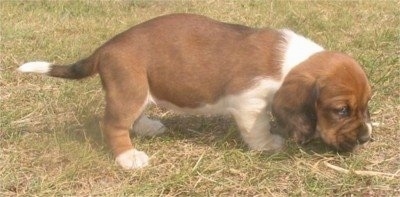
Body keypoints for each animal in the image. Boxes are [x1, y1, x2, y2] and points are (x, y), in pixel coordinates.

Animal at [16, 13, 372, 169]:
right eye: (341, 110)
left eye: (366, 105)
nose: (367, 139)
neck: (293, 63)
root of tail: (105, 48)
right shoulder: (250, 103)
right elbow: (257, 129)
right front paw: (268, 144)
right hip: (129, 89)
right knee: (113, 125)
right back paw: (128, 157)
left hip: (139, 90)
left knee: (135, 115)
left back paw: (147, 126)